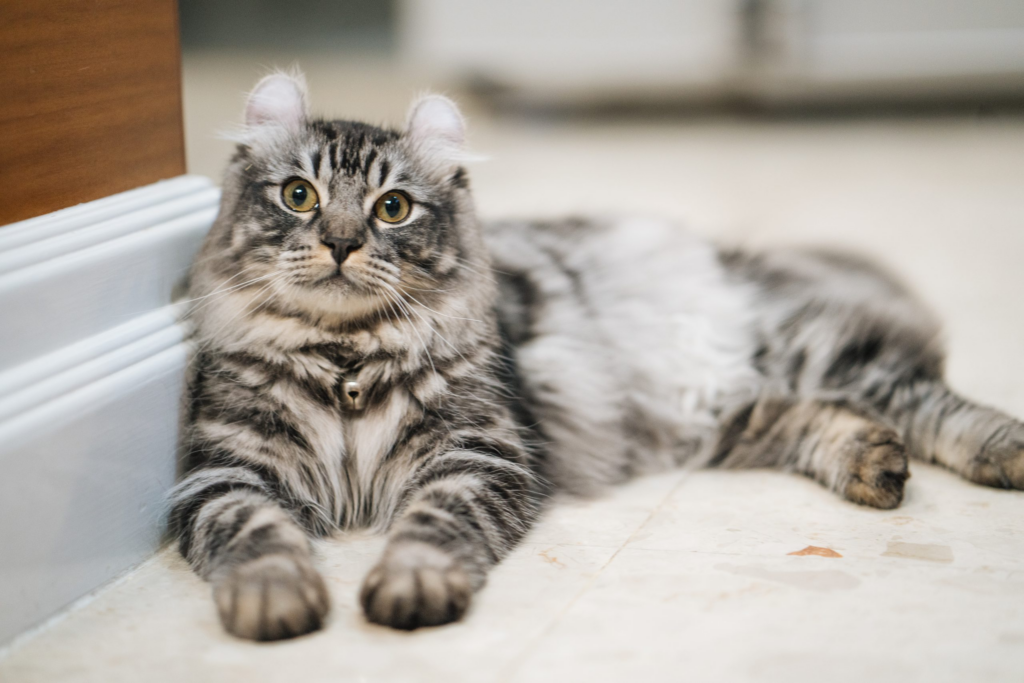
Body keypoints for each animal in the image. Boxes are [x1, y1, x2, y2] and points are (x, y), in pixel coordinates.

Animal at [169, 70, 1024, 643]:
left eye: (393, 207)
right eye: (299, 196)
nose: (343, 243)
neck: (346, 359)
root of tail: (735, 256)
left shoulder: (476, 456)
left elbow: (429, 524)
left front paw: (413, 583)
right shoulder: (225, 474)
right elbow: (257, 535)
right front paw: (275, 597)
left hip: (807, 353)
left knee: (923, 397)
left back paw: (1000, 450)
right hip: (725, 414)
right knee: (821, 418)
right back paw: (872, 463)